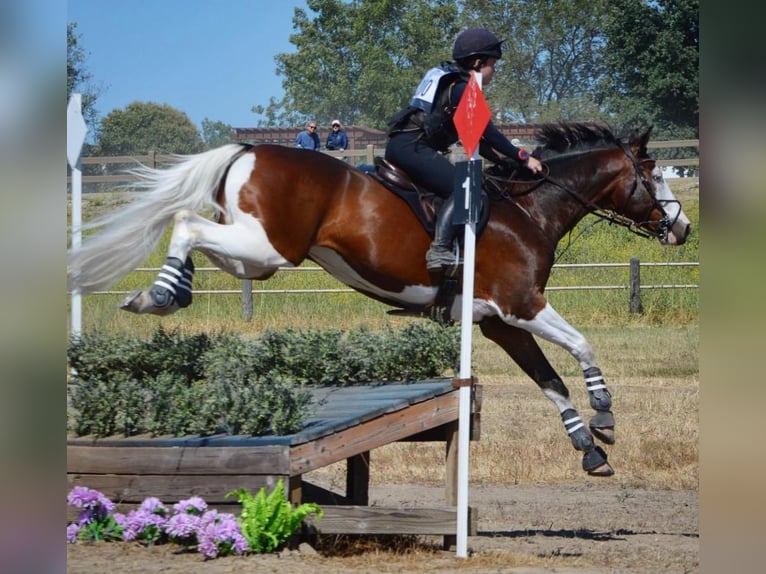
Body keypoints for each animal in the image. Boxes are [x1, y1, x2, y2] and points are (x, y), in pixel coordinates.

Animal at [69, 121, 696, 476]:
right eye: (653, 174)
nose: (683, 228)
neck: (529, 208)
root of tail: (248, 148)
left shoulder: (498, 322)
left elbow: (550, 382)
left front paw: (589, 448)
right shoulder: (523, 304)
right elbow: (582, 346)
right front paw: (605, 412)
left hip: (258, 258)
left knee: (195, 234)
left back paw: (165, 292)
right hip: (269, 248)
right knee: (183, 223)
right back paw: (157, 295)